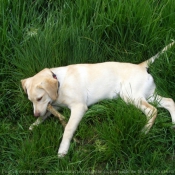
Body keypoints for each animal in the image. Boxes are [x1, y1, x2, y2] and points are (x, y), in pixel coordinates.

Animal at [20, 41, 175, 157]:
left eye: (39, 98)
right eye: (31, 100)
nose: (35, 114)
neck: (59, 82)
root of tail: (141, 66)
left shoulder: (79, 107)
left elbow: (68, 128)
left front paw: (63, 150)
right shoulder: (55, 106)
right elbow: (47, 113)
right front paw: (35, 123)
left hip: (130, 96)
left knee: (152, 111)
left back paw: (144, 131)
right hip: (148, 95)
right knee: (170, 101)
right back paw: (173, 124)